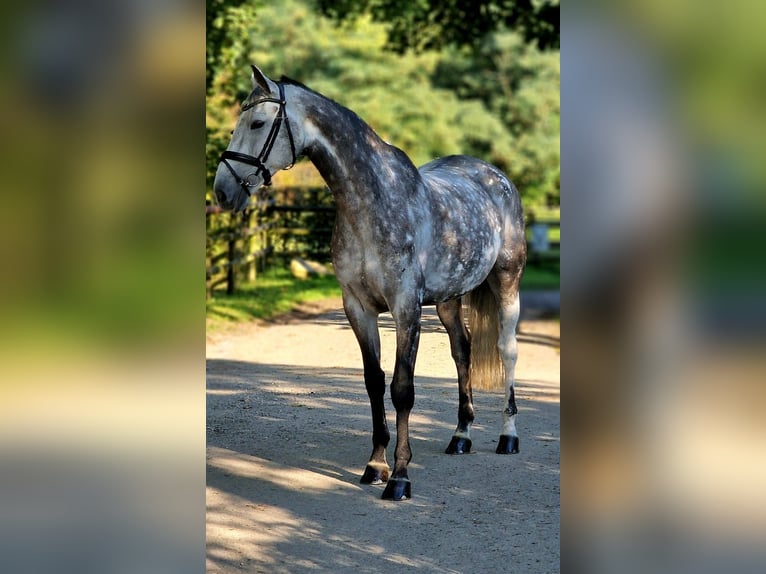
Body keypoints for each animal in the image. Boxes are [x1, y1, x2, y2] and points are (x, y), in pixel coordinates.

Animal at [216, 65, 528, 502]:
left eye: (258, 123)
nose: (222, 192)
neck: (372, 203)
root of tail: (494, 176)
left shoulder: (405, 308)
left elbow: (402, 389)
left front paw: (400, 476)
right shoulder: (358, 308)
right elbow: (373, 382)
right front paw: (376, 465)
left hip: (506, 282)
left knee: (507, 350)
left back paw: (508, 435)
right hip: (450, 298)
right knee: (462, 350)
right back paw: (461, 436)